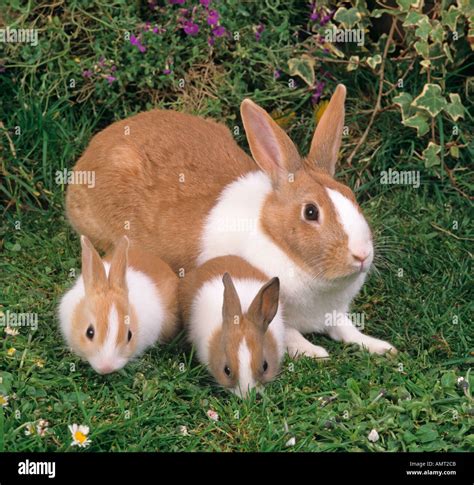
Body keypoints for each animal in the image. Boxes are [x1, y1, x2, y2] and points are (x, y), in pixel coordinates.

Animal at [66, 84, 396, 356]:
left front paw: (380, 346)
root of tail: (87, 158)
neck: (278, 243)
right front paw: (315, 352)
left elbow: (346, 329)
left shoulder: (336, 313)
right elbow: (289, 334)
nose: (362, 255)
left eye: (351, 197)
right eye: (311, 212)